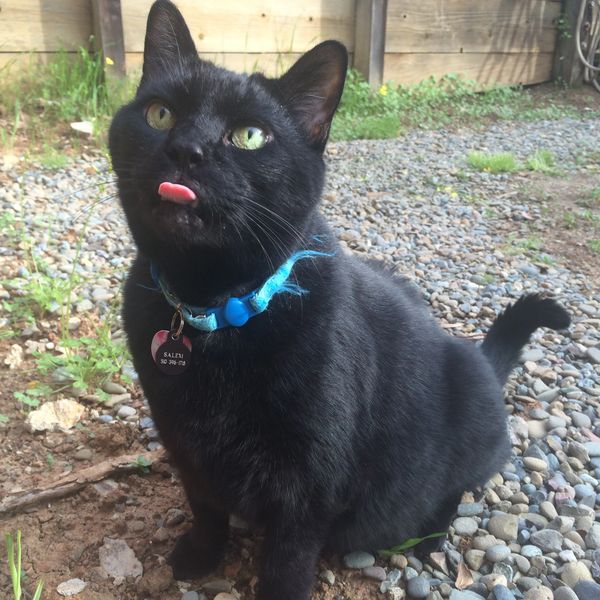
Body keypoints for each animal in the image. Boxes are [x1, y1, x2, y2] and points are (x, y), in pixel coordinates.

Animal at [109, 2, 572, 596]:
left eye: (250, 135)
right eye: (161, 114)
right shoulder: (185, 443)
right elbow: (205, 507)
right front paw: (200, 554)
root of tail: (482, 363)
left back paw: (427, 536)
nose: (186, 150)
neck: (213, 310)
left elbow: (287, 557)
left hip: (466, 438)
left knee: (455, 493)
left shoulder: (309, 480)